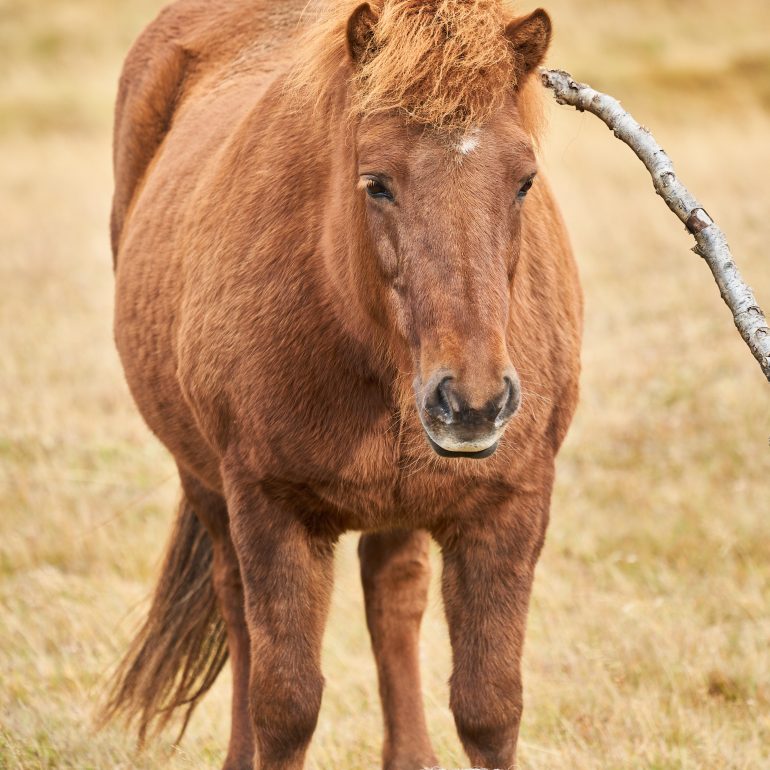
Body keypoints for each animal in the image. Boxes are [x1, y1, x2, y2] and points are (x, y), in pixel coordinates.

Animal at [105, 1, 582, 768]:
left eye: (524, 181)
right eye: (377, 181)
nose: (472, 404)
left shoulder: (507, 508)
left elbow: (489, 707)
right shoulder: (271, 508)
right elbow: (286, 704)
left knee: (393, 597)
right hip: (204, 480)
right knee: (236, 605)